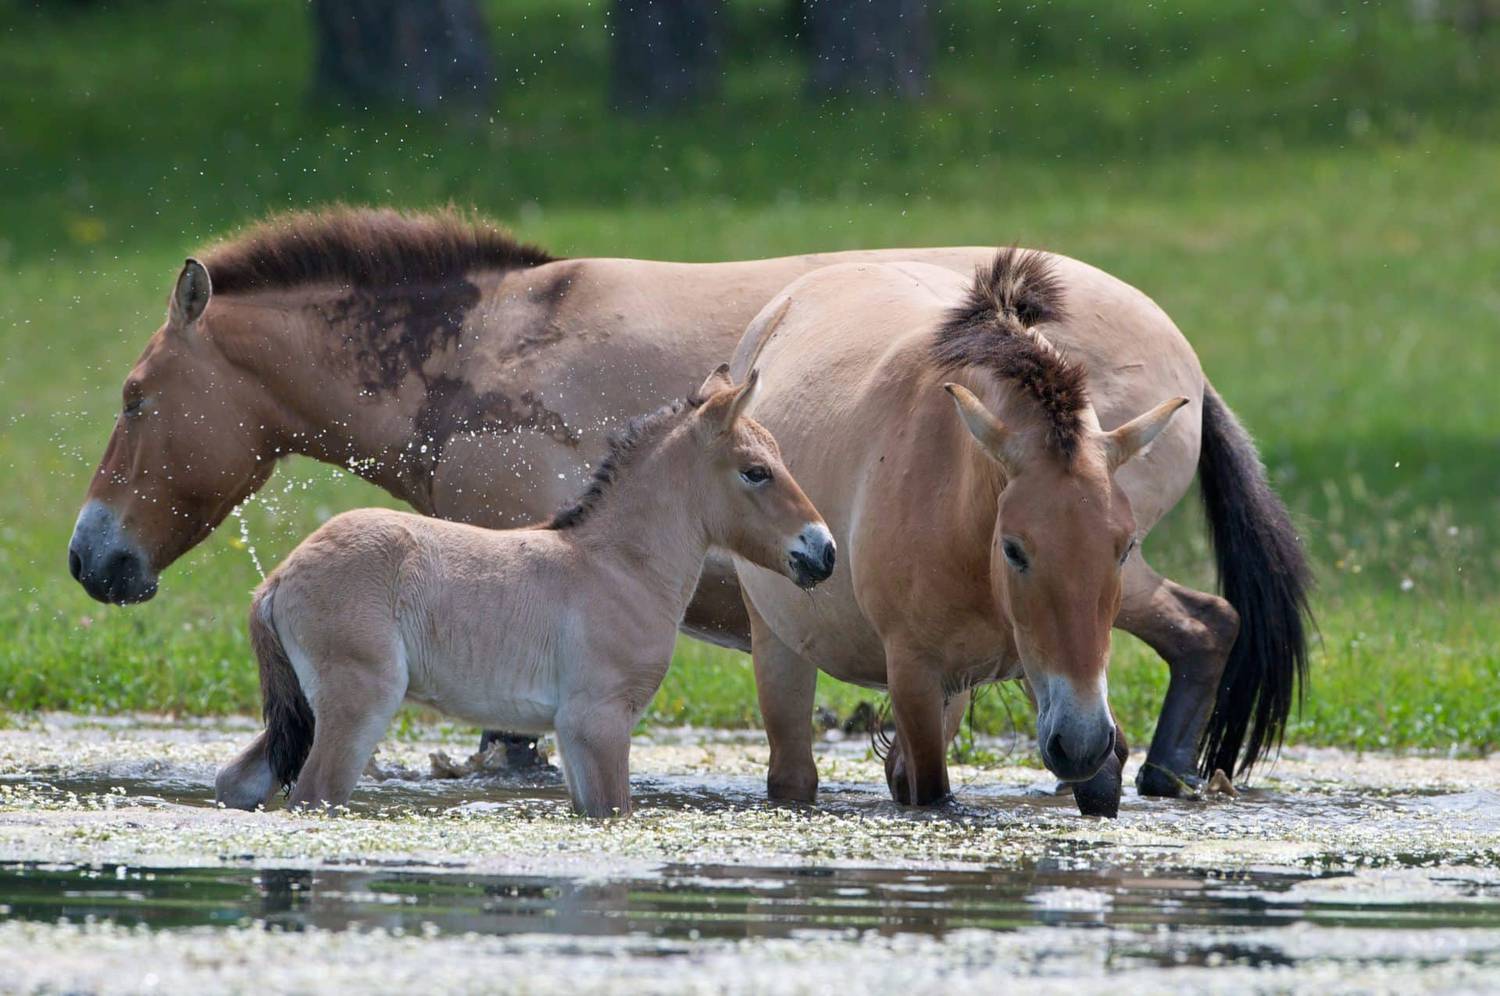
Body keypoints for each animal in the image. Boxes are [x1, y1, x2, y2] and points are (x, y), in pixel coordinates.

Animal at [217, 369, 840, 816]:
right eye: (756, 471)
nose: (823, 550)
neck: (616, 568)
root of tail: (278, 578)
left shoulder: (574, 733)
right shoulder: (599, 722)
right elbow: (615, 811)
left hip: (305, 708)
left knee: (239, 782)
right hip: (357, 705)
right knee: (313, 795)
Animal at [738, 250, 1314, 816]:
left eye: (1124, 548)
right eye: (1014, 549)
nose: (1079, 741)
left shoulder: (1062, 693)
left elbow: (1100, 784)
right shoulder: (915, 677)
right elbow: (932, 793)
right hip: (780, 648)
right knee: (794, 773)